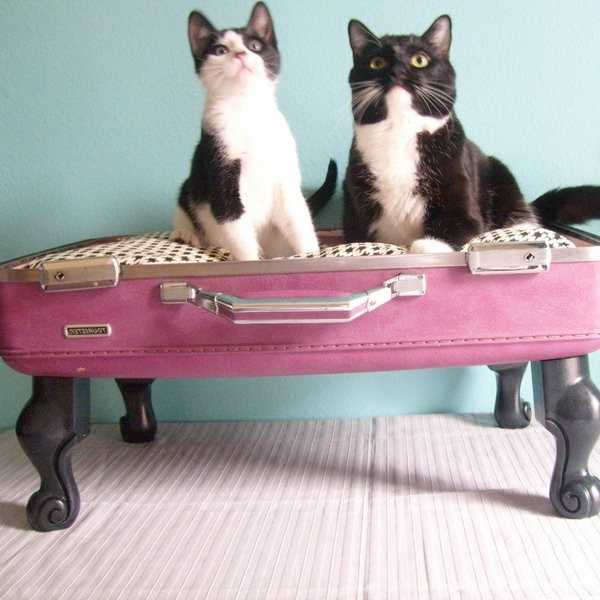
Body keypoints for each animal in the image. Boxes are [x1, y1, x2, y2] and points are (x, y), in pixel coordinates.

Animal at [171, 2, 336, 260]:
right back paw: (184, 234)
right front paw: (249, 260)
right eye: (220, 50)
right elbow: (234, 222)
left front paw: (310, 254)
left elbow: (298, 217)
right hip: (193, 184)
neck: (247, 110)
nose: (240, 54)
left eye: (254, 46)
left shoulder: (285, 175)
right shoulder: (218, 161)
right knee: (185, 202)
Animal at [342, 15, 600, 252]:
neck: (400, 131)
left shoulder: (462, 194)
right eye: (376, 62)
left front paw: (427, 246)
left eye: (420, 60)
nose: (397, 71)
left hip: (500, 174)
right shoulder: (356, 204)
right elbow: (359, 237)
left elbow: (456, 227)